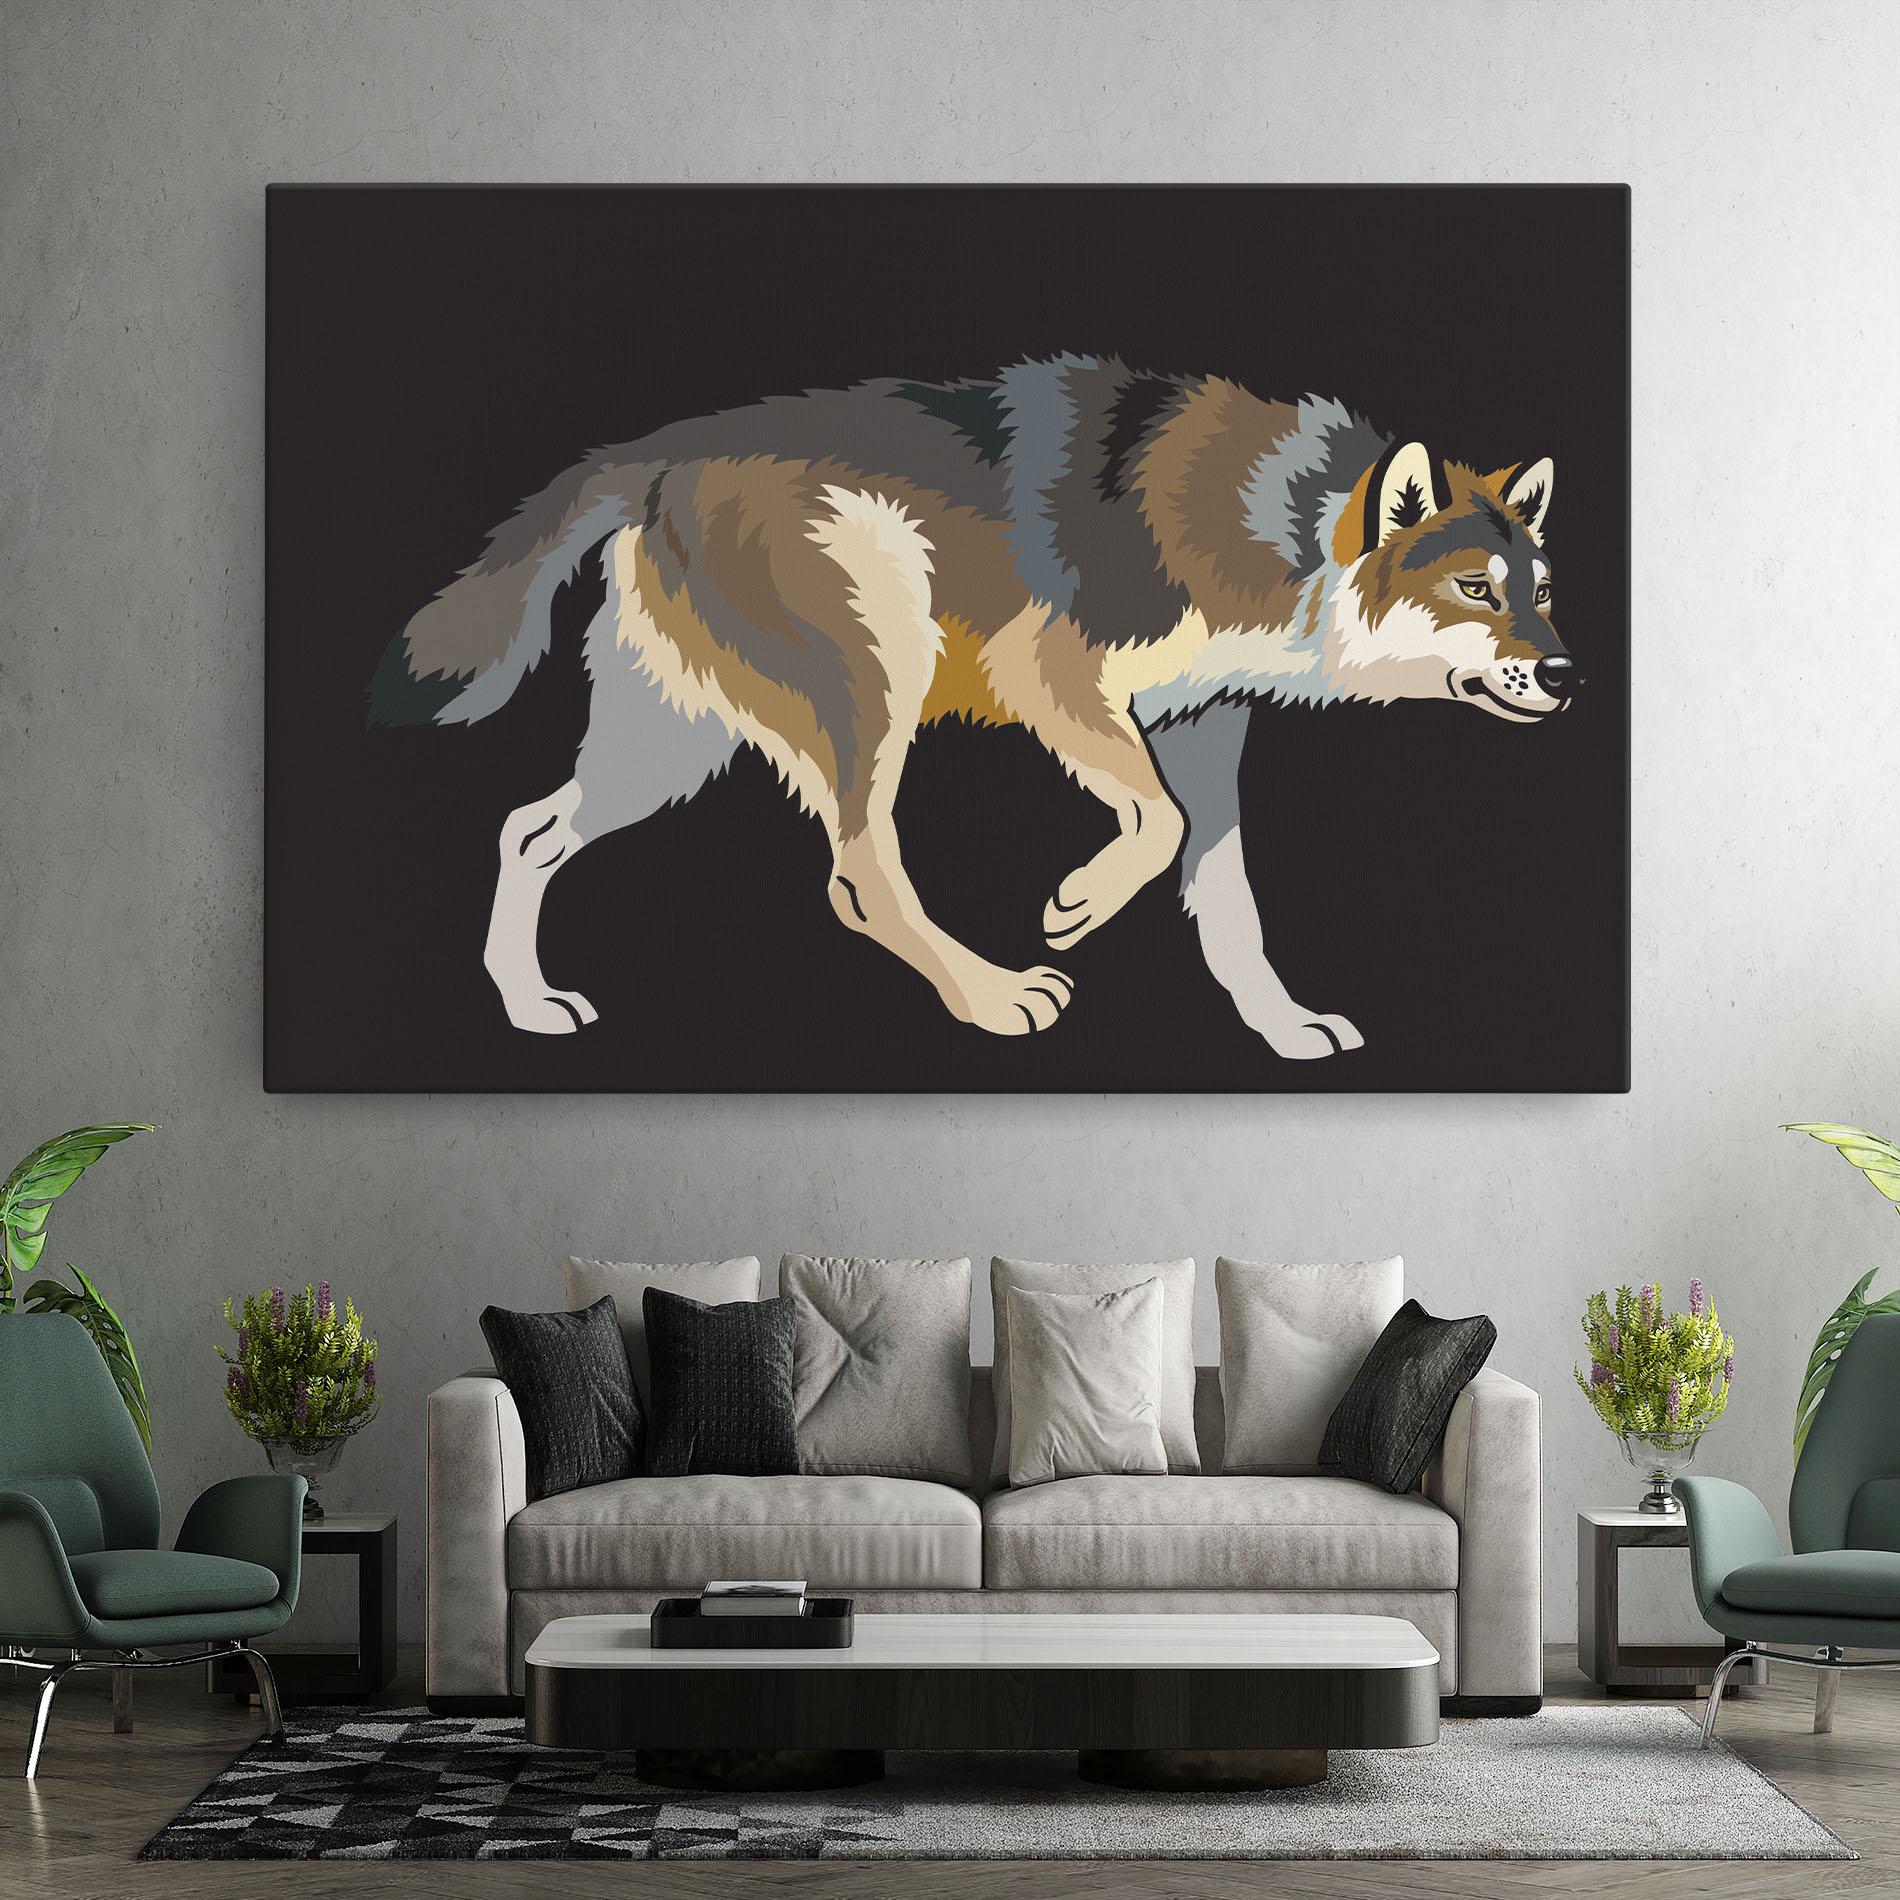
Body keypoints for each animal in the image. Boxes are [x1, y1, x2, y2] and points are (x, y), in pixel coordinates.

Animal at [369, 355, 1575, 1058]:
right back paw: (992, 998)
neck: (1289, 529)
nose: (1568, 676)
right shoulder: (1050, 673)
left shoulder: (1203, 725)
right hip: (874, 679)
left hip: (669, 749)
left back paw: (526, 1006)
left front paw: (1282, 1027)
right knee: (858, 873)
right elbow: (1156, 826)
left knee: (527, 830)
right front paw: (1077, 903)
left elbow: (1226, 897)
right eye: (1476, 591)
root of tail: (650, 452)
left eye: (1543, 593)